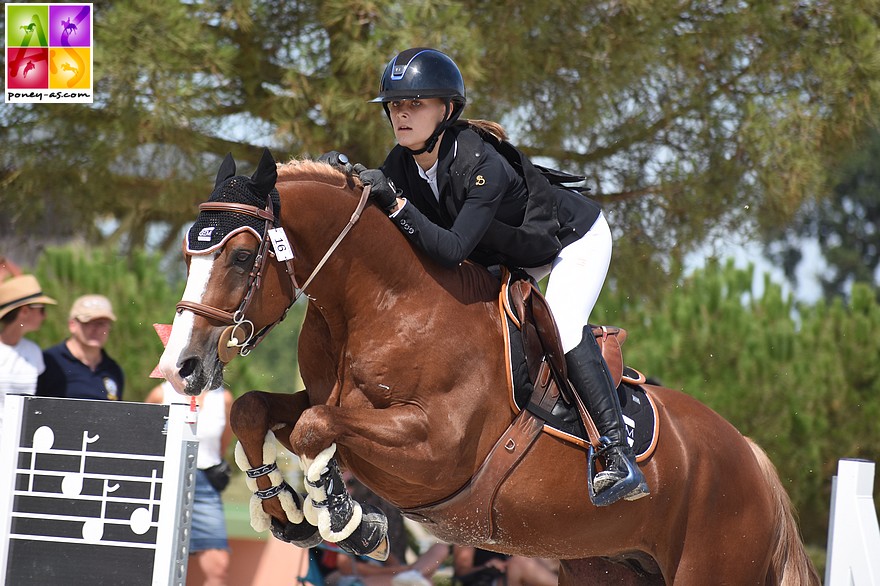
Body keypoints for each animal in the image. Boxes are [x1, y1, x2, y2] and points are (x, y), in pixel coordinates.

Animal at [156, 152, 820, 584]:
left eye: (242, 256)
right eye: (190, 251)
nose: (182, 368)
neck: (383, 301)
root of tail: (753, 459)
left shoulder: (436, 450)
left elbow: (315, 428)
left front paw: (350, 520)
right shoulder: (329, 396)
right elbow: (259, 410)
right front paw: (285, 512)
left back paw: (617, 470)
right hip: (609, 567)